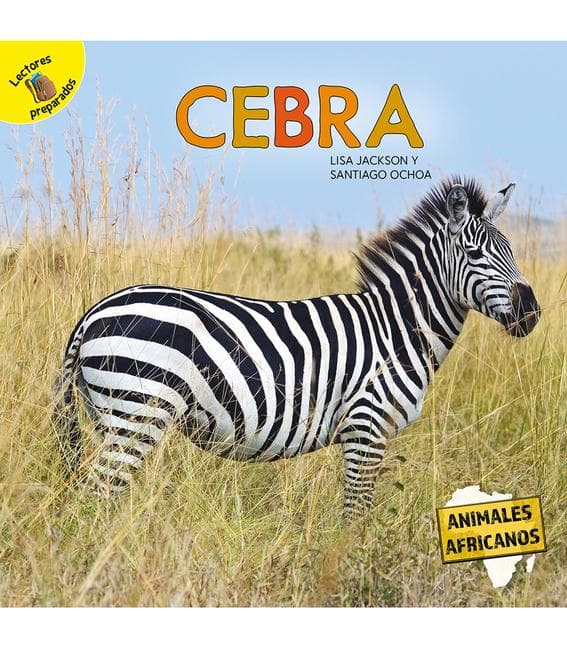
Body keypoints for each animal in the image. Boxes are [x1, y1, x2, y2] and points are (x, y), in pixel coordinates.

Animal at [53, 177, 540, 520]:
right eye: (476, 255)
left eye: (512, 251)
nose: (531, 312)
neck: (397, 330)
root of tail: (94, 312)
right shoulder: (366, 428)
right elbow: (356, 517)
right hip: (137, 413)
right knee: (96, 498)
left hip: (109, 415)